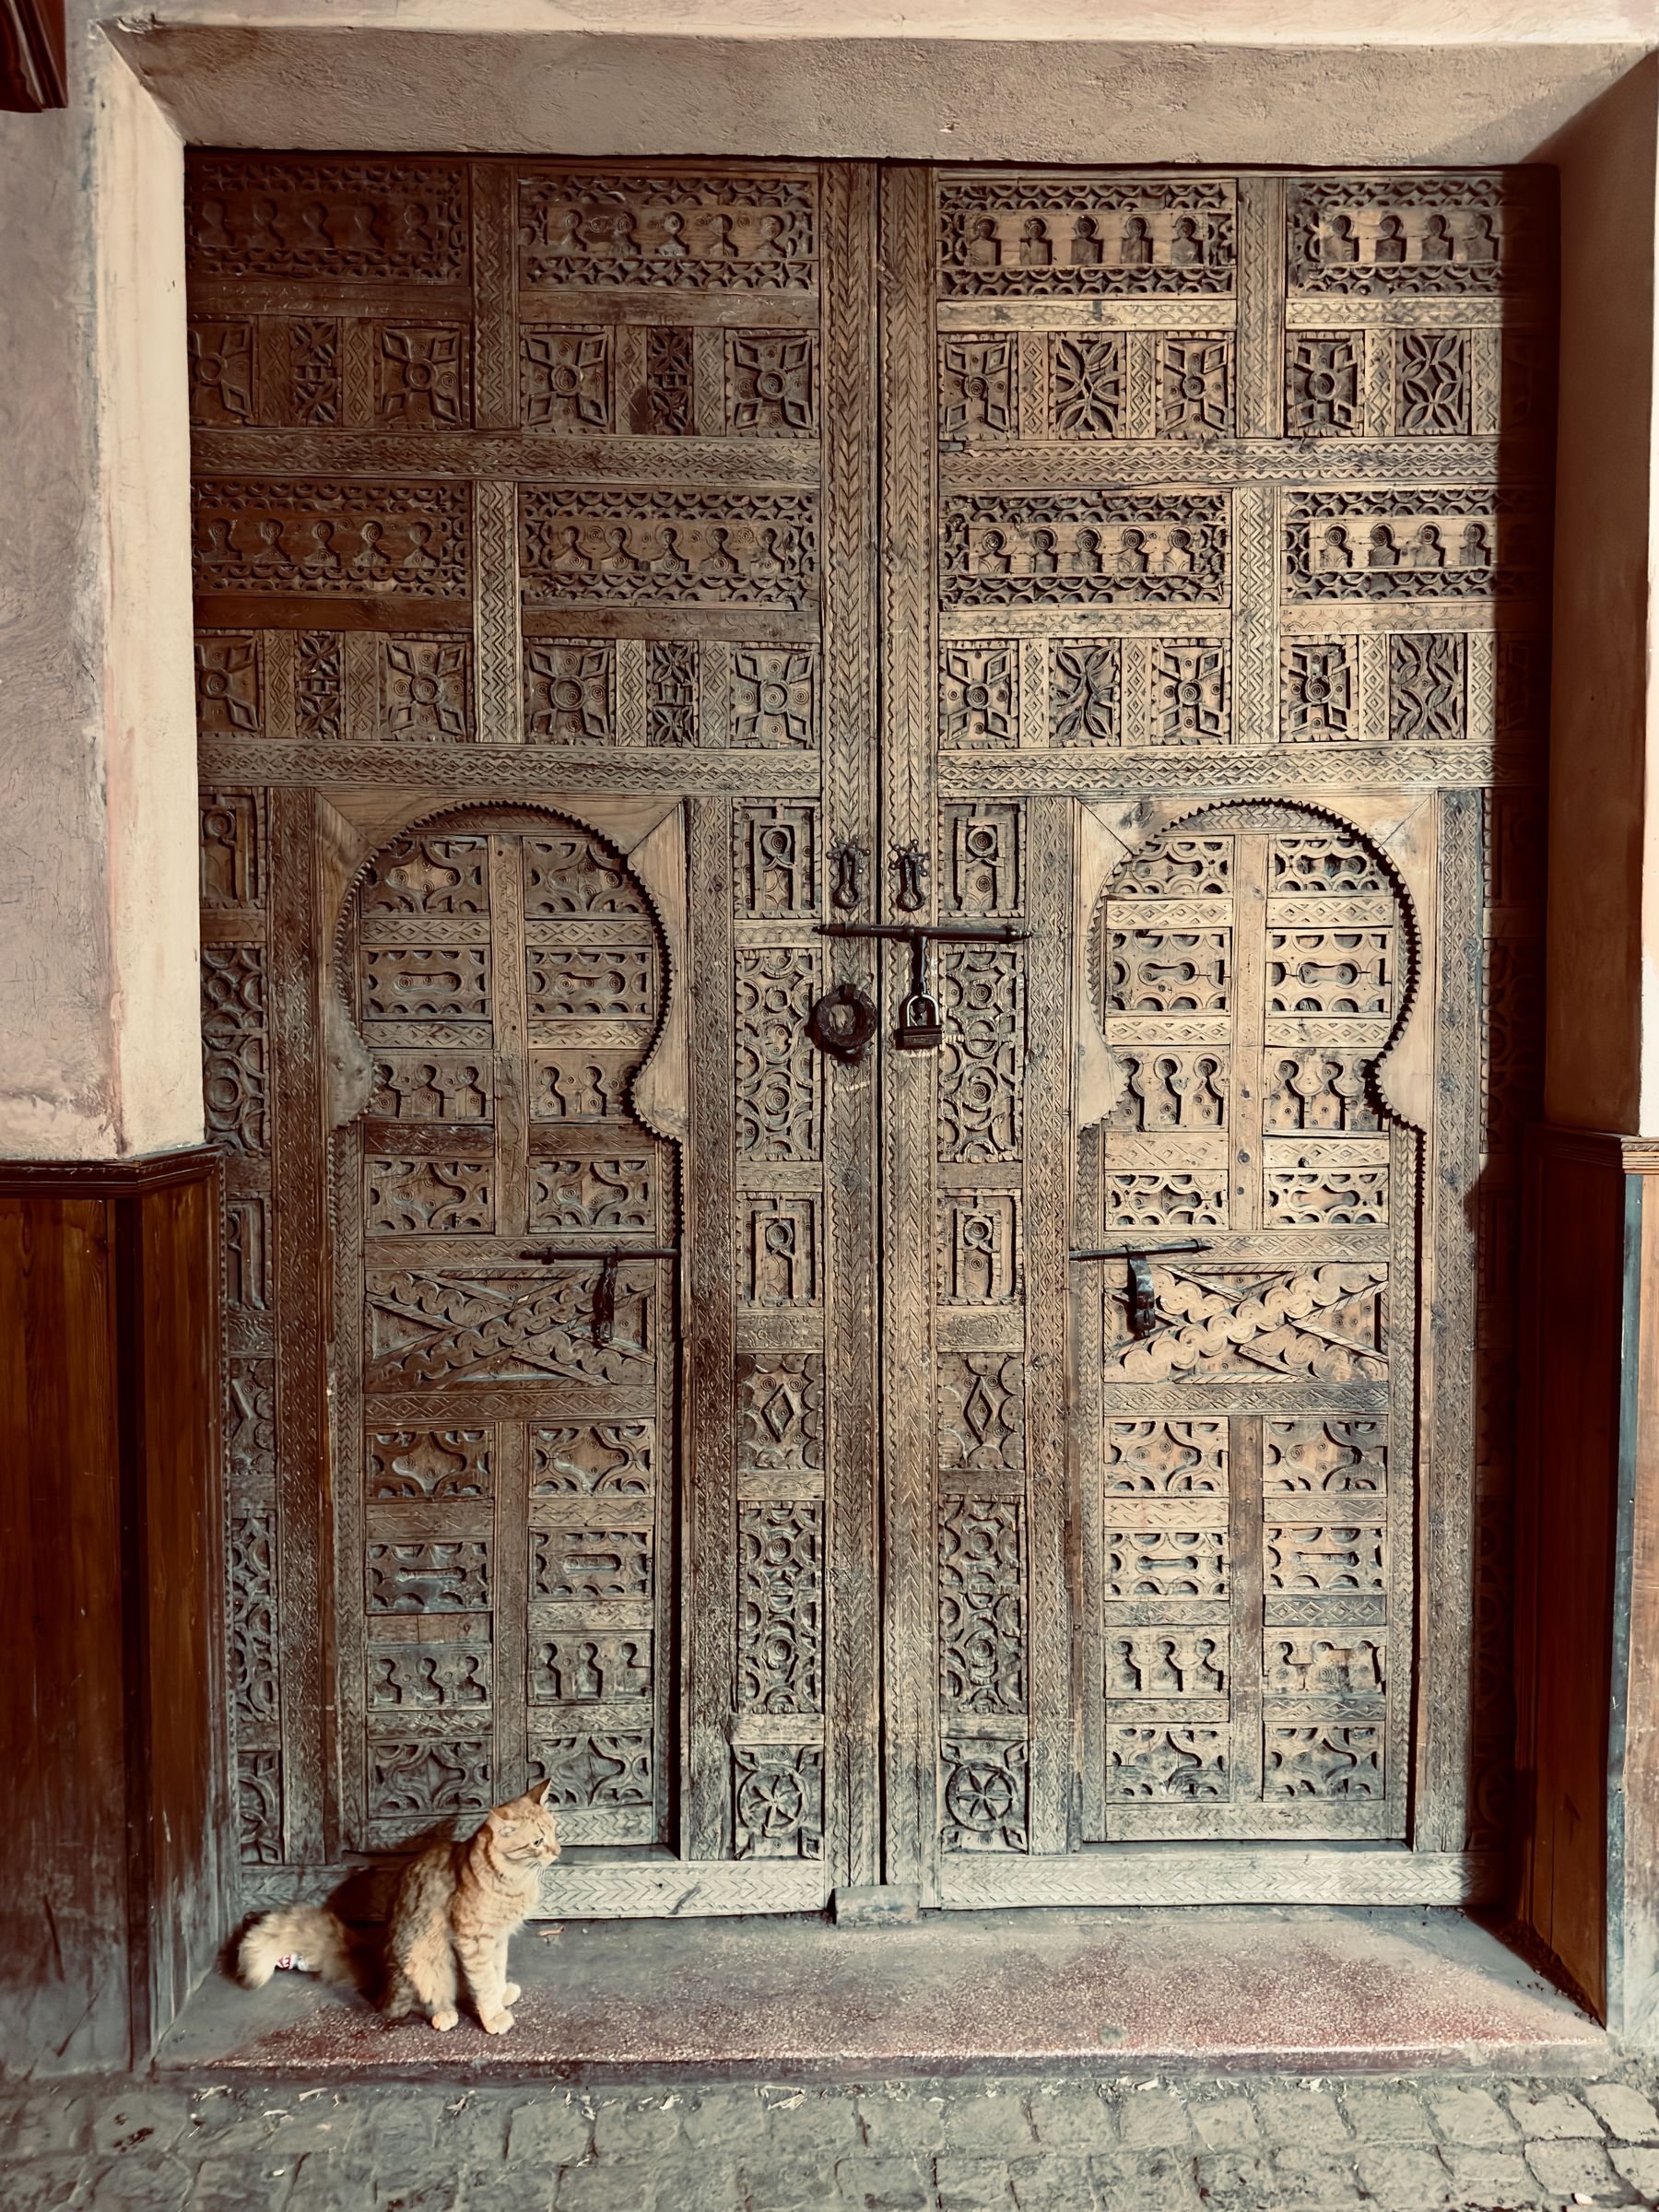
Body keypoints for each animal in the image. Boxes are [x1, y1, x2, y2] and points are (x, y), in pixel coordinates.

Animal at [239, 1778, 566, 2035]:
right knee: (418, 2005)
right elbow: (484, 1981)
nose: (558, 1851)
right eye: (537, 1842)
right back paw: (444, 2014)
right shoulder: (474, 1941)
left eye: (554, 1831)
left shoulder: (498, 1939)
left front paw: (500, 1994)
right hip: (424, 1960)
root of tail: (376, 1967)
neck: (513, 1879)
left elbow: (495, 1973)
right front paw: (494, 2015)